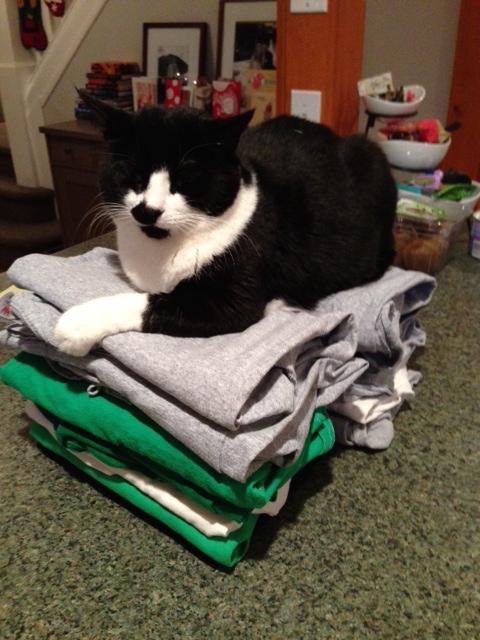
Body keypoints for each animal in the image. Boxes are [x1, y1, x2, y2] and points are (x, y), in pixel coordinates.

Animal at [54, 95, 396, 358]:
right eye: (133, 177)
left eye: (184, 181)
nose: (147, 211)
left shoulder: (233, 296)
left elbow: (153, 302)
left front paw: (79, 323)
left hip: (374, 163)